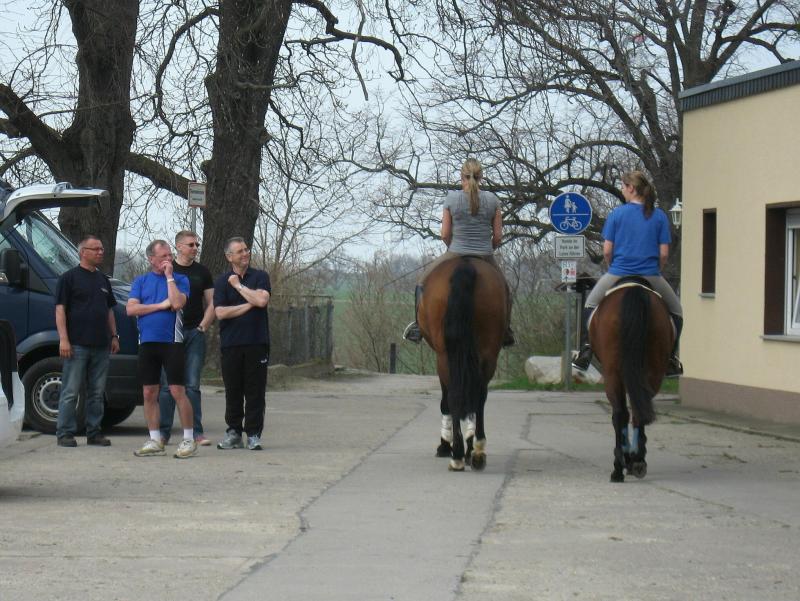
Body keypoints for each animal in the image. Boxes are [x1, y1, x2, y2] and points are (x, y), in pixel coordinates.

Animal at [417, 256, 509, 472]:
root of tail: (465, 264)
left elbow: (445, 401)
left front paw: (444, 445)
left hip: (444, 356)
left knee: (455, 397)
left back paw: (459, 453)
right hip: (487, 353)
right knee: (478, 396)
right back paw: (475, 452)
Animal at [589, 279, 674, 482]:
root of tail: (634, 289)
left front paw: (626, 458)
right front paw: (632, 458)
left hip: (612, 373)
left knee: (621, 414)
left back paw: (620, 467)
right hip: (651, 372)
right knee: (637, 411)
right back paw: (637, 461)